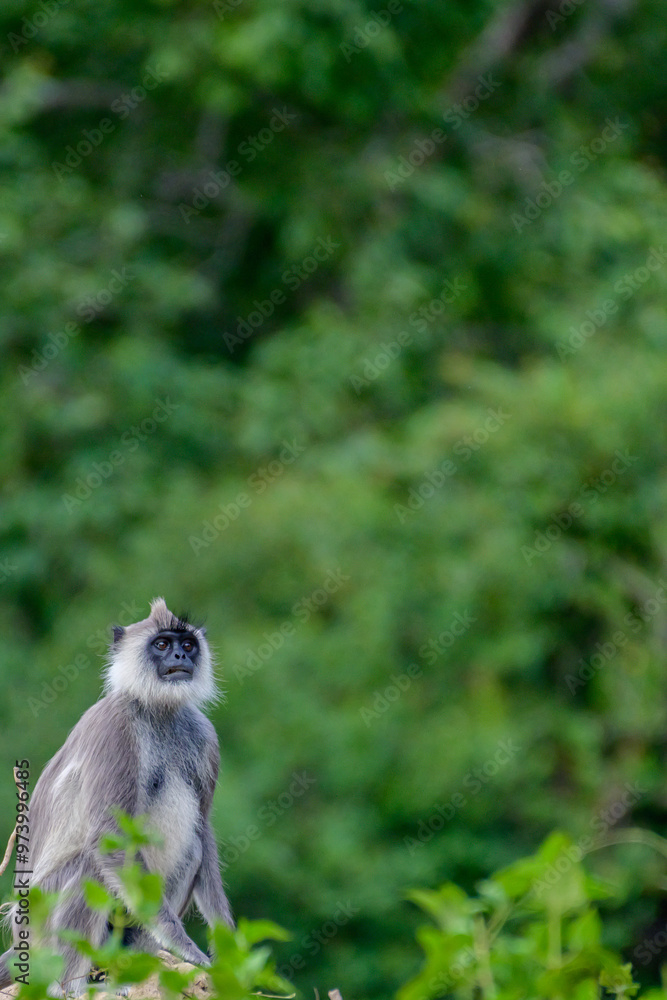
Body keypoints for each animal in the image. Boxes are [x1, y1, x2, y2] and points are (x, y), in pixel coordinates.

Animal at [0, 598, 234, 997]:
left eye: (188, 645)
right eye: (162, 644)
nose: (179, 656)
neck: (158, 710)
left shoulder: (205, 735)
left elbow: (203, 832)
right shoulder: (116, 726)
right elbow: (108, 837)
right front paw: (185, 946)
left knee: (192, 849)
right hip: (38, 919)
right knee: (89, 866)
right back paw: (72, 988)